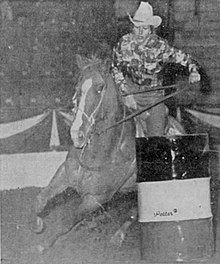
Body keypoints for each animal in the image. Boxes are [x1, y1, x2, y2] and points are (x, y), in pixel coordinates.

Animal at [30, 53, 186, 252]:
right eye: (77, 88)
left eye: (99, 88)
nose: (77, 133)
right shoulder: (64, 175)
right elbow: (40, 200)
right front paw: (38, 224)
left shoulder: (96, 199)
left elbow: (67, 221)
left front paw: (43, 246)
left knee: (135, 212)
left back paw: (118, 237)